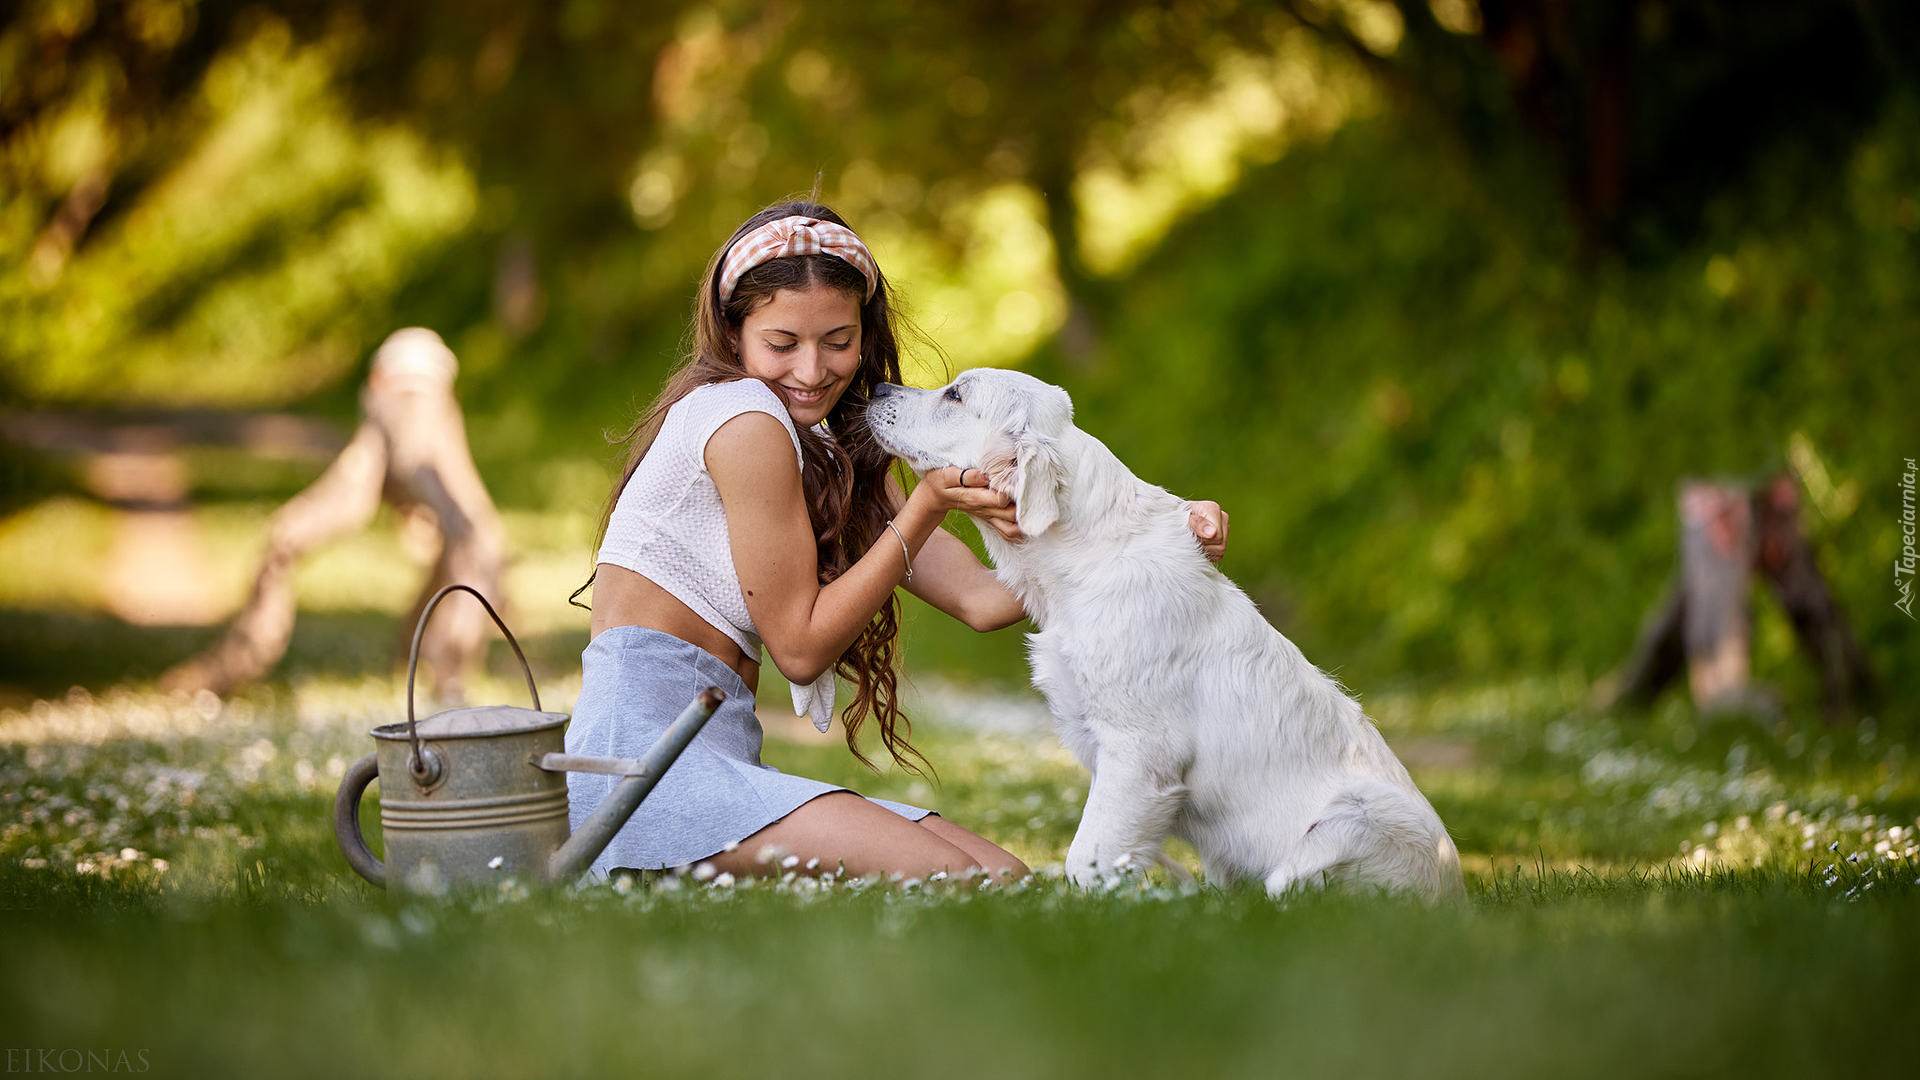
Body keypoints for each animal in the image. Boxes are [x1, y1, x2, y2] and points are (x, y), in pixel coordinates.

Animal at [864, 365, 1459, 895]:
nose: (877, 387)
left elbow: (1087, 856)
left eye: (956, 395)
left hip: (1354, 820)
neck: (1084, 562)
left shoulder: (1139, 749)